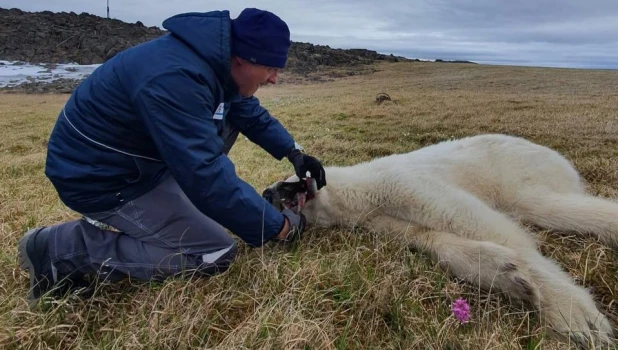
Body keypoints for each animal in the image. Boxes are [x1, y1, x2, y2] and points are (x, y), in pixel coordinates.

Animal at [262, 133, 612, 348]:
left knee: (544, 204)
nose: (267, 192)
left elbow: (473, 220)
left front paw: (574, 315)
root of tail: (559, 158)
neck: (356, 192)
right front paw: (507, 275)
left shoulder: (399, 183)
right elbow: (430, 238)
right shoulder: (380, 219)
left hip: (517, 170)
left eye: (286, 180)